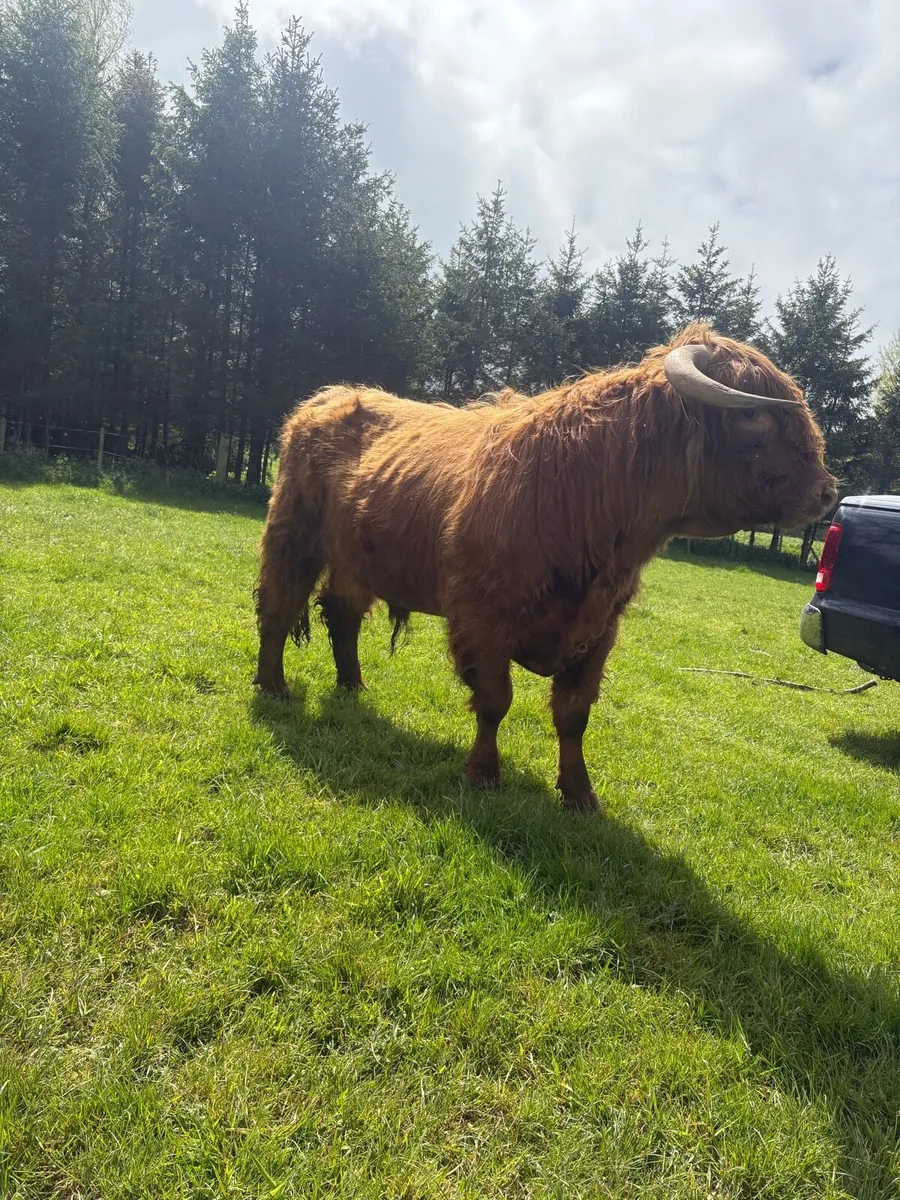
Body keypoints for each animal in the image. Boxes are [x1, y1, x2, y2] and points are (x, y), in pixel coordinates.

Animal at [253, 323, 837, 811]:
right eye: (753, 414)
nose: (828, 492)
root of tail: (328, 396)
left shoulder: (600, 629)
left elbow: (574, 715)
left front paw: (580, 794)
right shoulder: (482, 616)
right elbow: (495, 699)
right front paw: (483, 773)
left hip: (357, 557)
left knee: (342, 612)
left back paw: (354, 685)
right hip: (293, 533)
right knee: (278, 608)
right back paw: (273, 686)